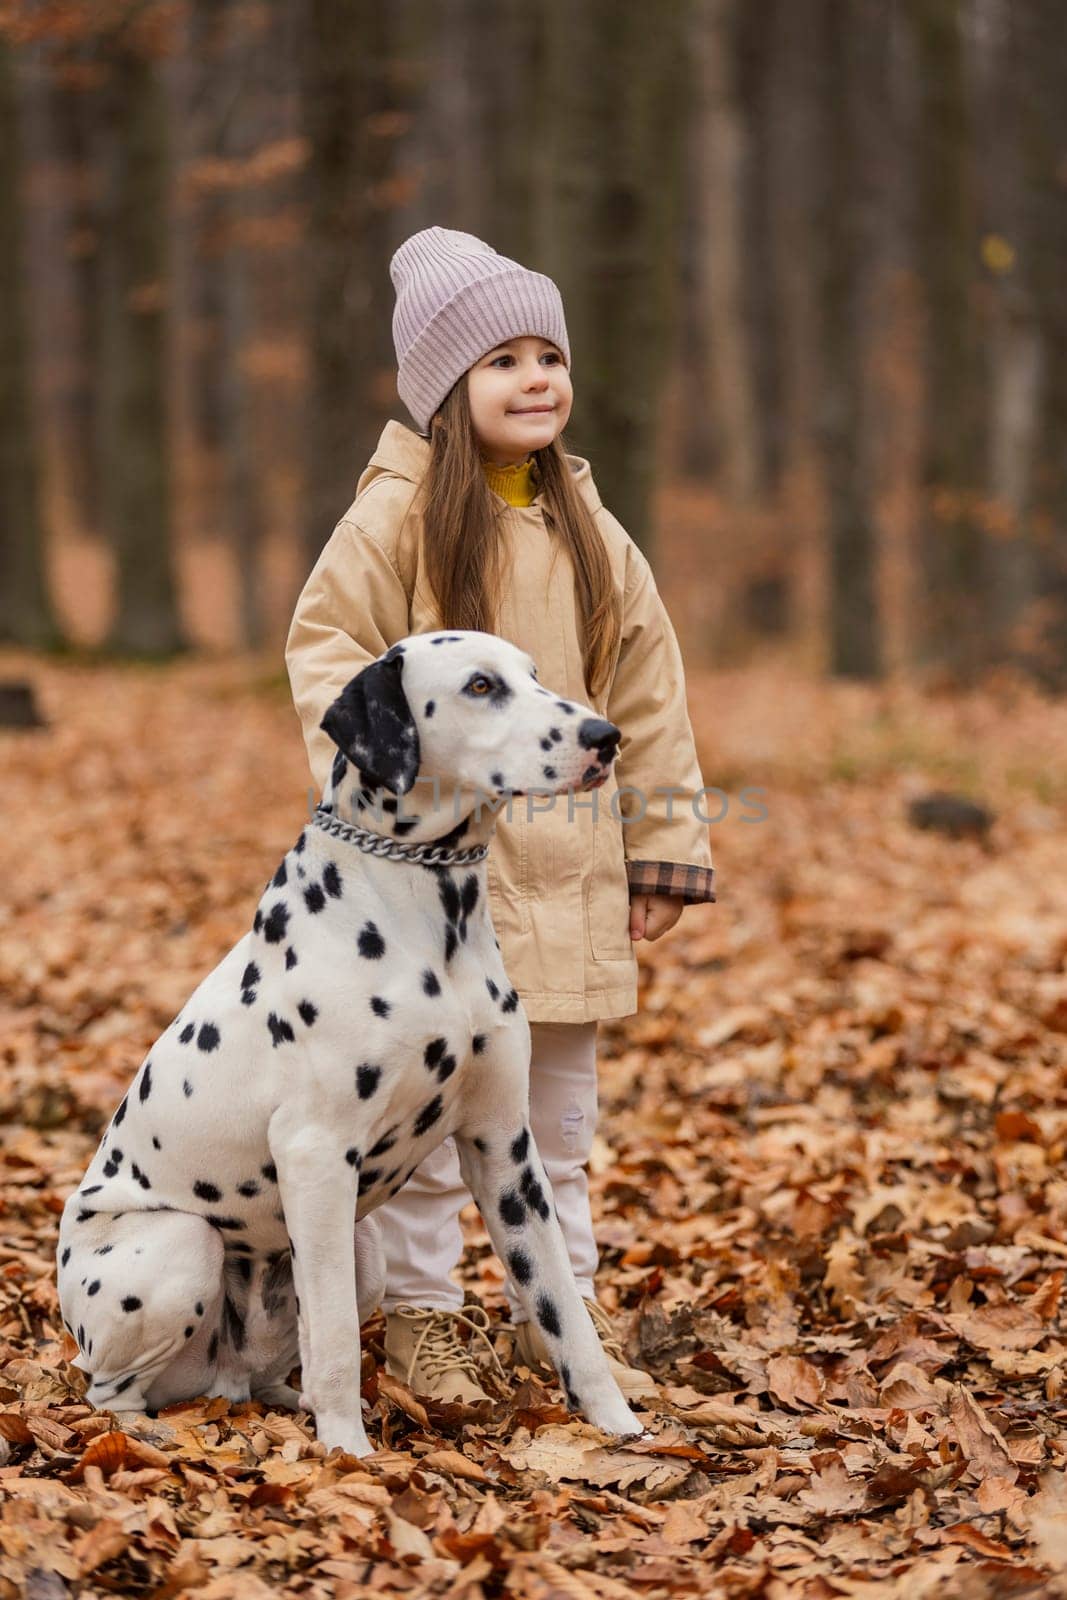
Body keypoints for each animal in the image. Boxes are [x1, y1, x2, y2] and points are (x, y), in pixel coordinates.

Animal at [56, 630, 643, 1459]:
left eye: (534, 675)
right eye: (480, 685)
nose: (603, 735)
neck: (433, 914)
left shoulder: (504, 1149)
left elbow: (559, 1302)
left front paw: (616, 1422)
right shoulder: (316, 1155)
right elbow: (333, 1335)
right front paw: (348, 1455)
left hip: (363, 1250)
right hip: (181, 1245)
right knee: (109, 1391)